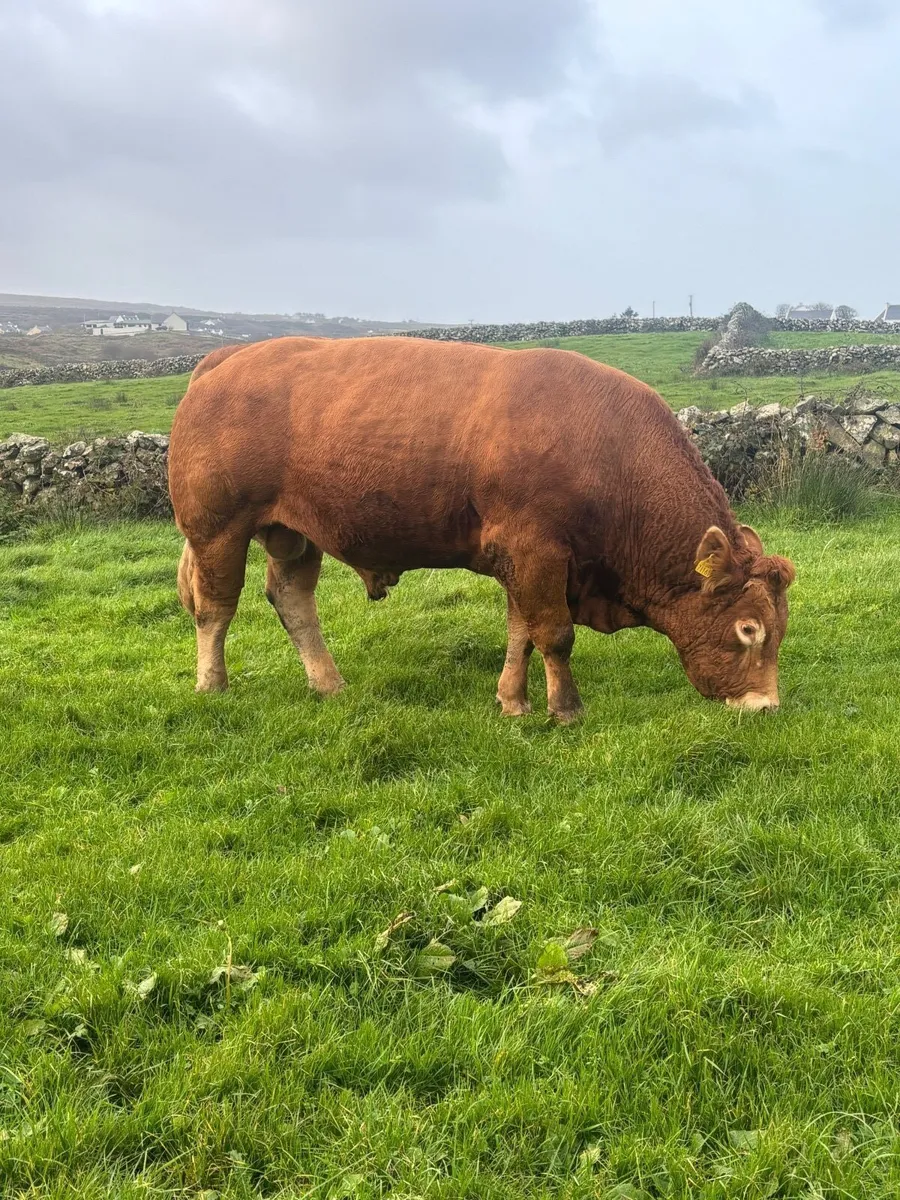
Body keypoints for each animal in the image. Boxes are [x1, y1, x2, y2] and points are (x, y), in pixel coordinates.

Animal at [168, 336, 795, 719]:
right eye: (748, 629)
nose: (766, 707)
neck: (611, 454)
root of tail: (227, 357)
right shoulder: (538, 552)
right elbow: (554, 634)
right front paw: (566, 709)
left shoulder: (524, 561)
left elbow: (522, 632)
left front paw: (513, 701)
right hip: (217, 529)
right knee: (215, 608)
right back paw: (211, 684)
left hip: (292, 535)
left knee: (292, 600)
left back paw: (328, 683)